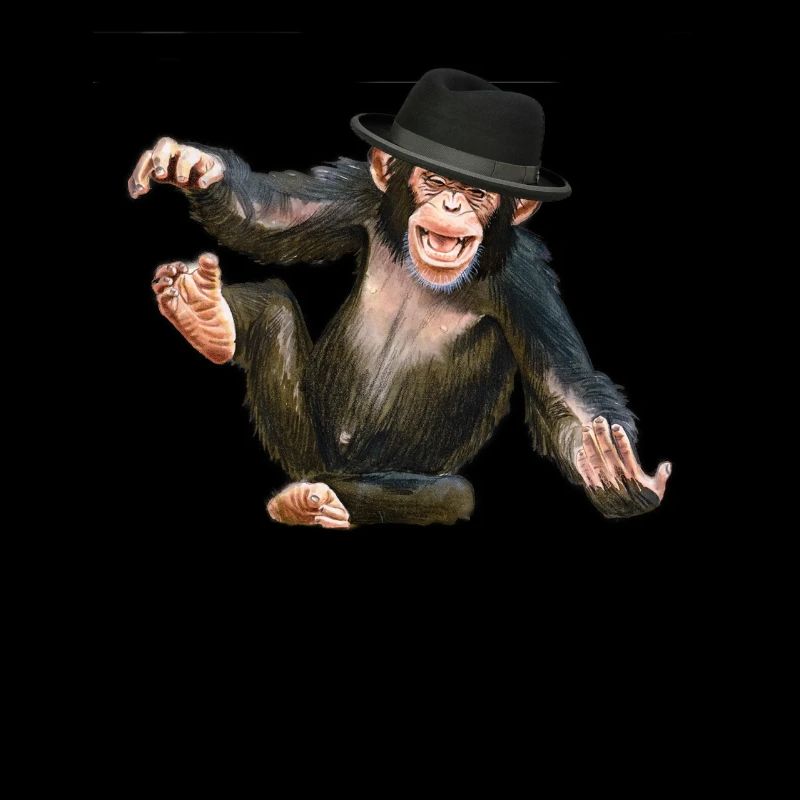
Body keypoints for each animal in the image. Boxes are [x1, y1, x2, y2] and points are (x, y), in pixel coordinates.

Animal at [129, 71, 671, 528]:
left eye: (477, 194)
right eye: (434, 181)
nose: (451, 204)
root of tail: (333, 468)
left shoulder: (526, 283)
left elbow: (564, 387)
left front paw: (615, 475)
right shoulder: (360, 198)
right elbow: (277, 216)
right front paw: (197, 165)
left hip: (371, 474)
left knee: (451, 494)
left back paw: (315, 502)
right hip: (304, 444)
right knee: (273, 309)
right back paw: (206, 317)